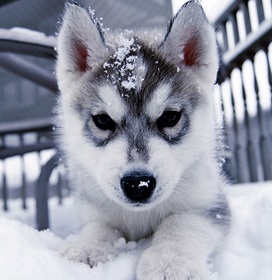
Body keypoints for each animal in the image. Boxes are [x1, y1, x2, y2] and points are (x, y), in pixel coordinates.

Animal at [56, 1, 231, 278]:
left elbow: (181, 221)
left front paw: (169, 263)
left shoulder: (212, 204)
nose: (138, 184)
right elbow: (98, 227)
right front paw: (87, 247)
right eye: (103, 120)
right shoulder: (94, 207)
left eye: (170, 117)